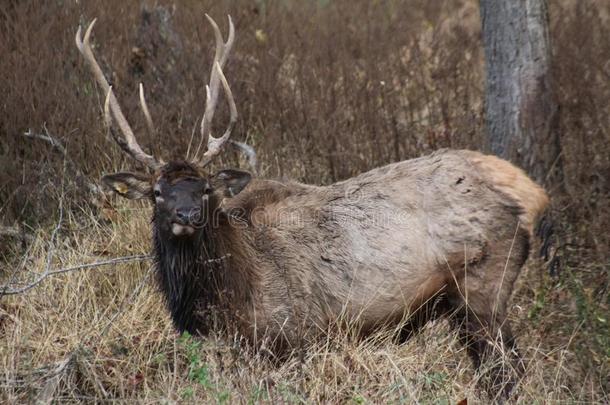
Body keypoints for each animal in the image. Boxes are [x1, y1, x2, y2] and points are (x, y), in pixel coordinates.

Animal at [76, 15, 552, 398]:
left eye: (206, 189)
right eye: (157, 193)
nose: (187, 216)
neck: (229, 294)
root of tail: (532, 192)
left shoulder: (292, 336)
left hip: (485, 284)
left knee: (509, 374)